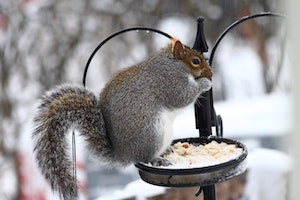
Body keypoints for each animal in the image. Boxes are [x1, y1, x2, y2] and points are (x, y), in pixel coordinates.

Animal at [31, 38, 212, 198]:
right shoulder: (170, 81)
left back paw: (166, 151)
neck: (173, 63)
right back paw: (158, 159)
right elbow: (182, 96)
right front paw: (205, 84)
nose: (210, 74)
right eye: (195, 61)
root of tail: (123, 154)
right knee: (144, 157)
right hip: (152, 132)